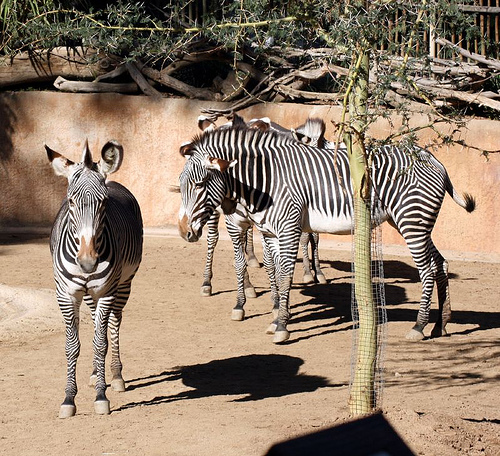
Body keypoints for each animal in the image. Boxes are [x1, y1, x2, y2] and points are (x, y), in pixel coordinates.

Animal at [46, 140, 143, 418]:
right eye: (70, 201)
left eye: (103, 202)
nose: (88, 262)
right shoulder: (66, 295)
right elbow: (72, 346)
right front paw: (69, 399)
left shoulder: (107, 292)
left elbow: (100, 343)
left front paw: (101, 395)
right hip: (90, 296)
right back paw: (93, 373)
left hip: (123, 285)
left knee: (114, 324)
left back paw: (116, 376)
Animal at [178, 124, 475, 344]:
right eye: (181, 184)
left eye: (200, 183)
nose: (183, 230)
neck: (266, 180)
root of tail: (432, 158)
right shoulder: (271, 233)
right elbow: (275, 272)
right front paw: (275, 318)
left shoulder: (288, 227)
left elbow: (284, 275)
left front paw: (282, 326)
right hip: (415, 222)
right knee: (440, 264)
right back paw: (441, 324)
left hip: (412, 220)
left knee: (426, 270)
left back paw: (418, 326)